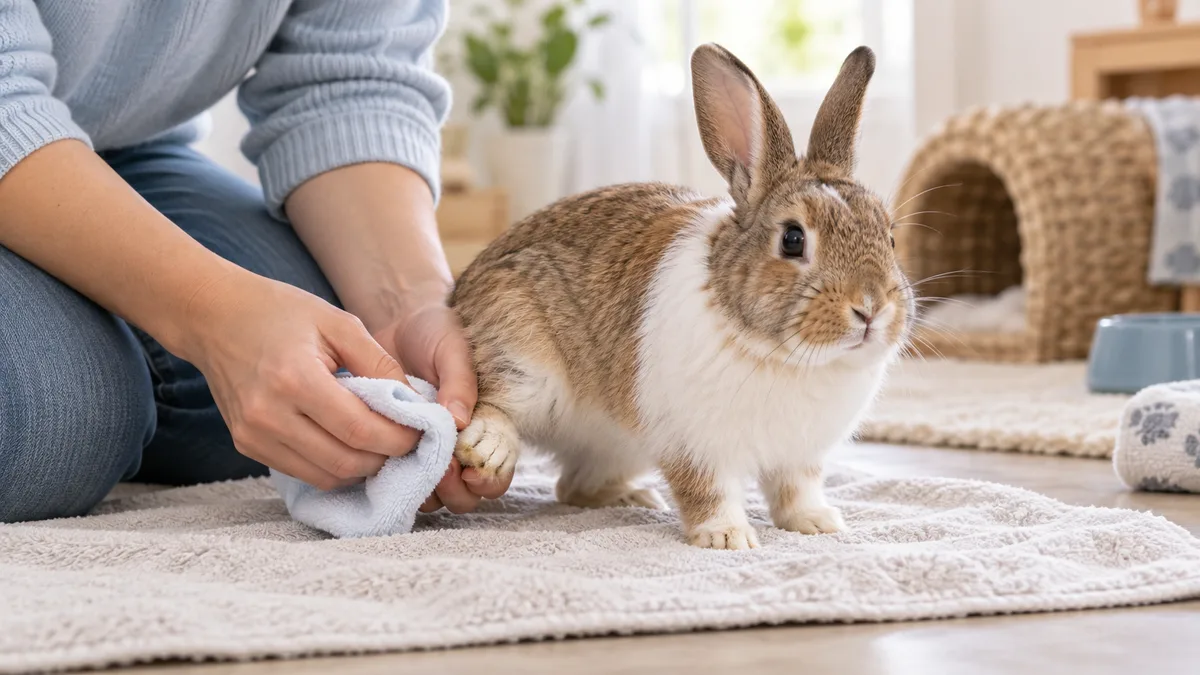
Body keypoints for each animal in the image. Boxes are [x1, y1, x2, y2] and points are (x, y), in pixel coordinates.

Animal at [448, 43, 913, 550]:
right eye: (793, 240)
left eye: (889, 237)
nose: (870, 308)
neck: (782, 355)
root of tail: (460, 294)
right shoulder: (694, 445)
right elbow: (708, 491)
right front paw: (727, 537)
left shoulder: (799, 458)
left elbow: (796, 491)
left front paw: (817, 523)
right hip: (520, 346)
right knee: (496, 402)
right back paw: (490, 450)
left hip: (618, 445)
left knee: (572, 486)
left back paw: (631, 497)